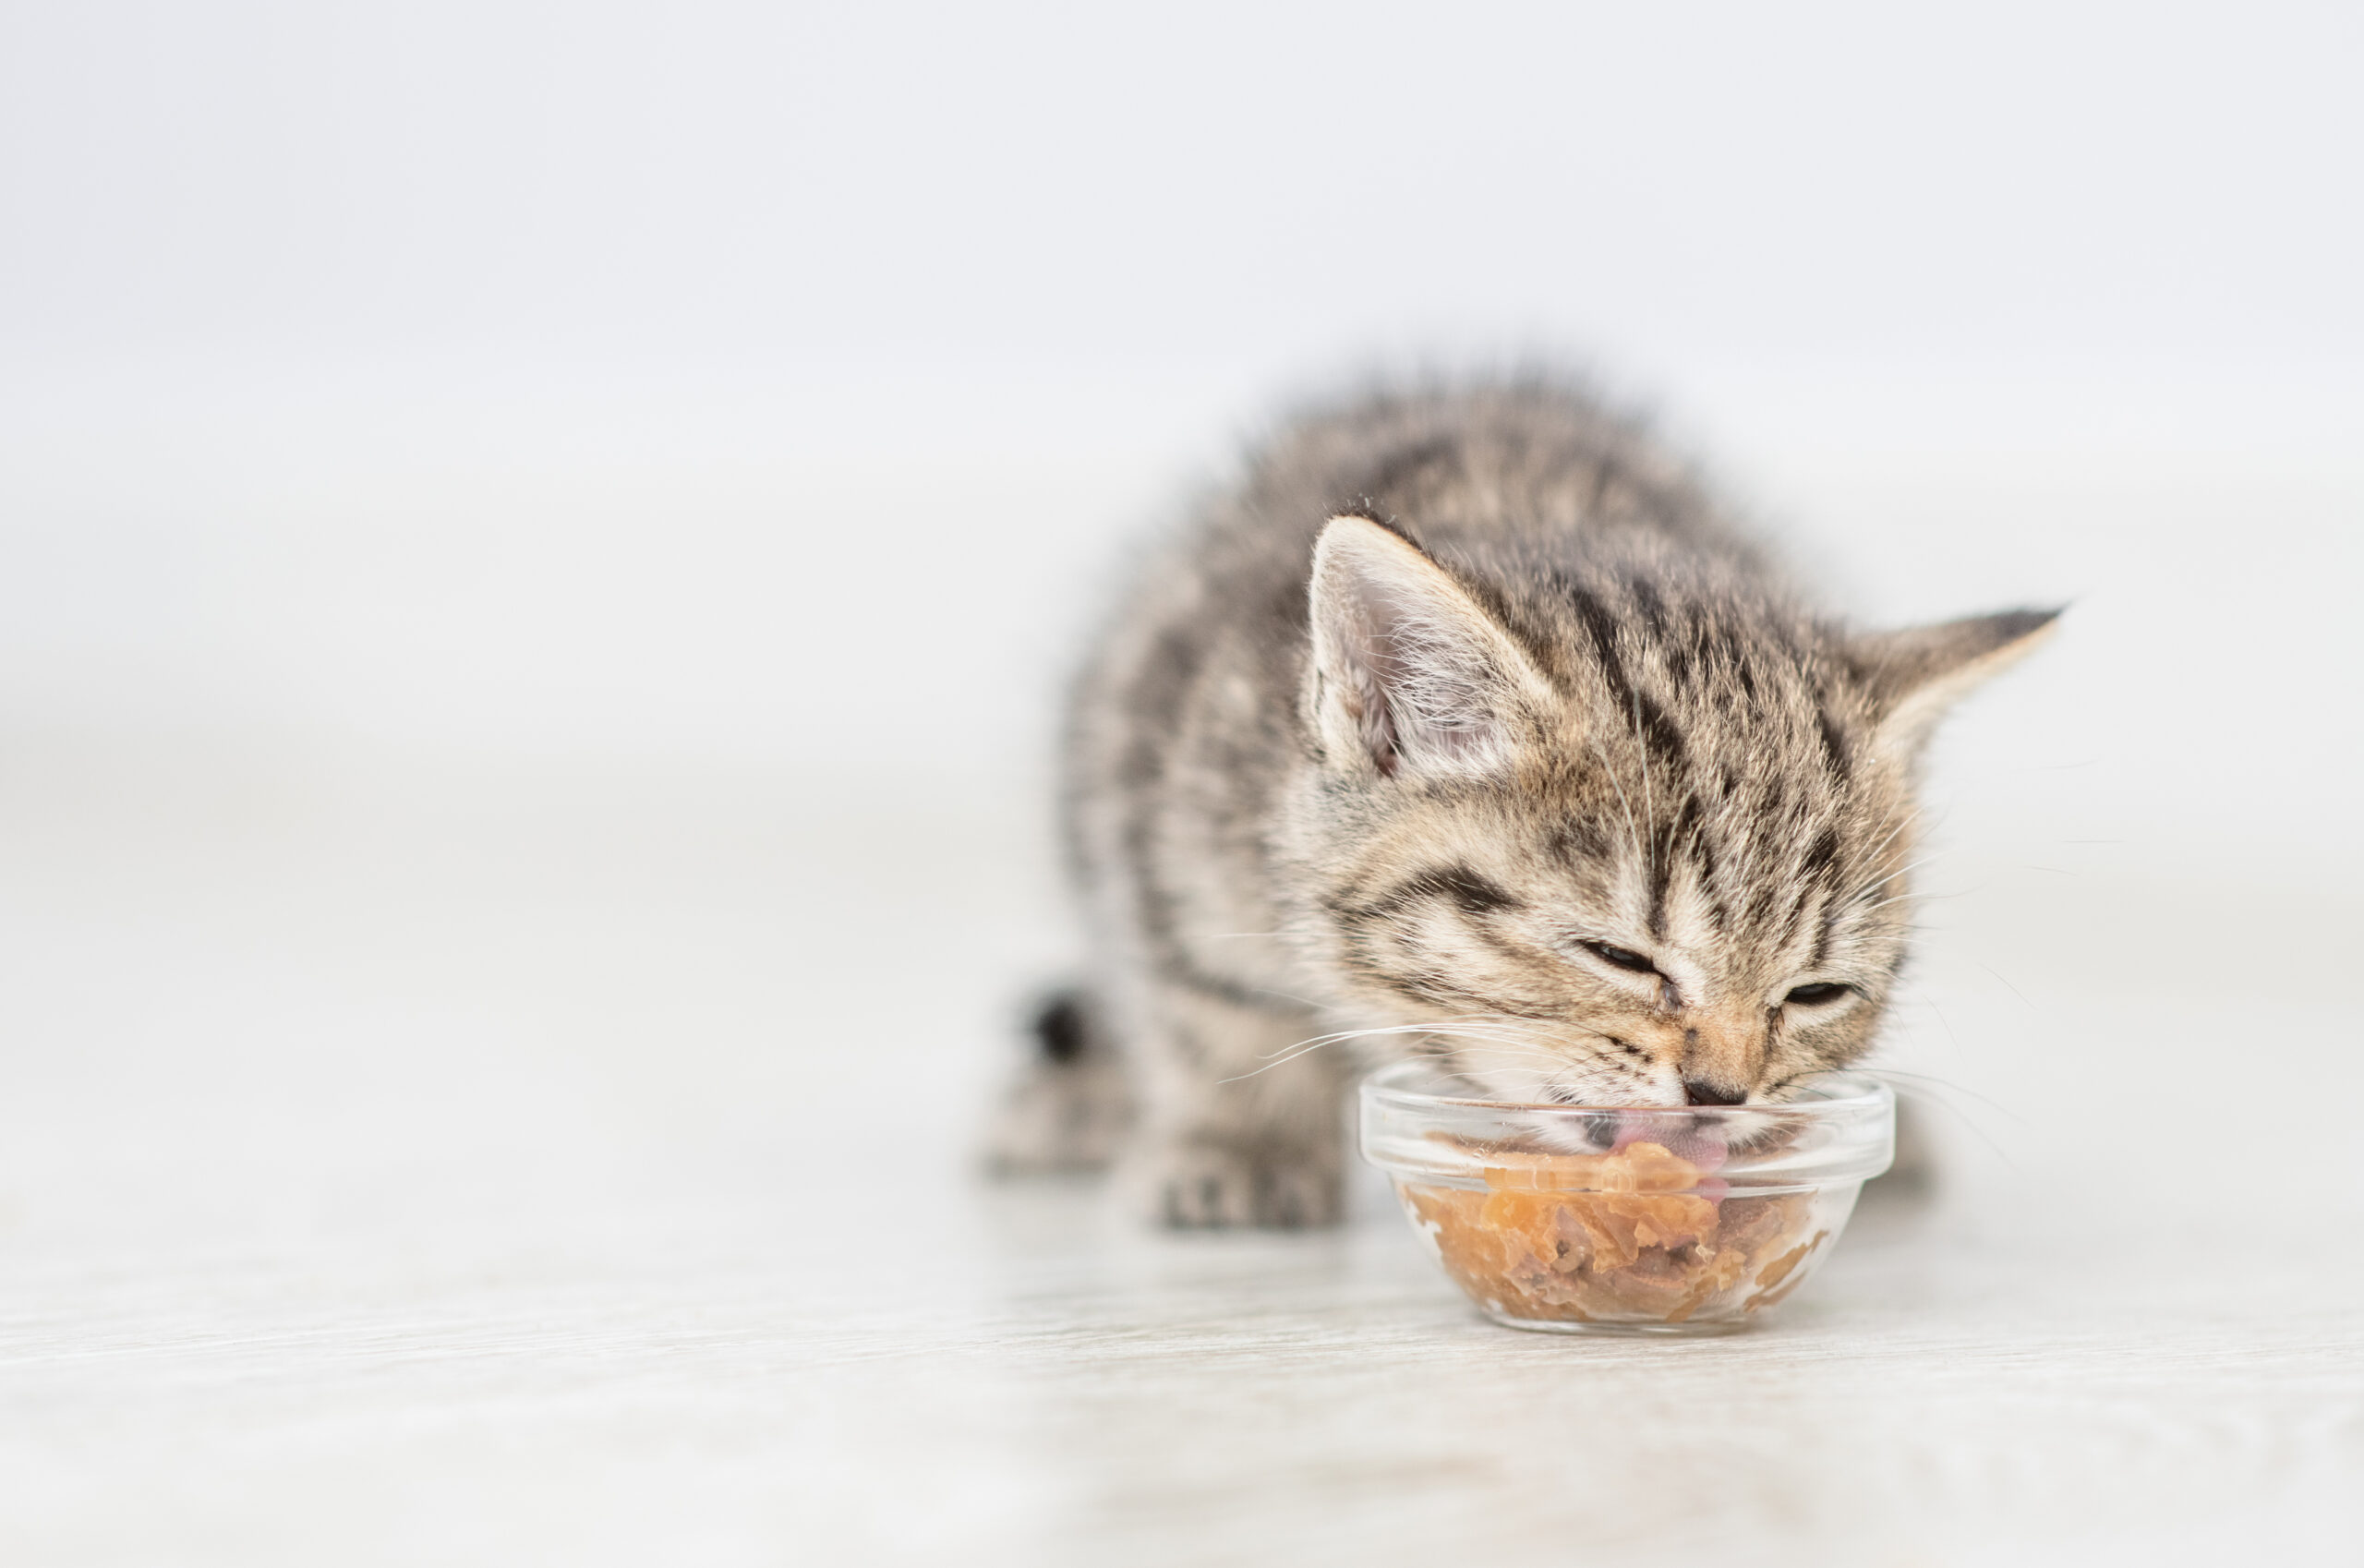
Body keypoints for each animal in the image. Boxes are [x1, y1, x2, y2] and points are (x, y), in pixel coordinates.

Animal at [988, 378, 2061, 1229]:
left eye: (1814, 993)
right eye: (1618, 957)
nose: (1722, 1092)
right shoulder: (1163, 777)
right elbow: (1206, 997)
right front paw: (1243, 1138)